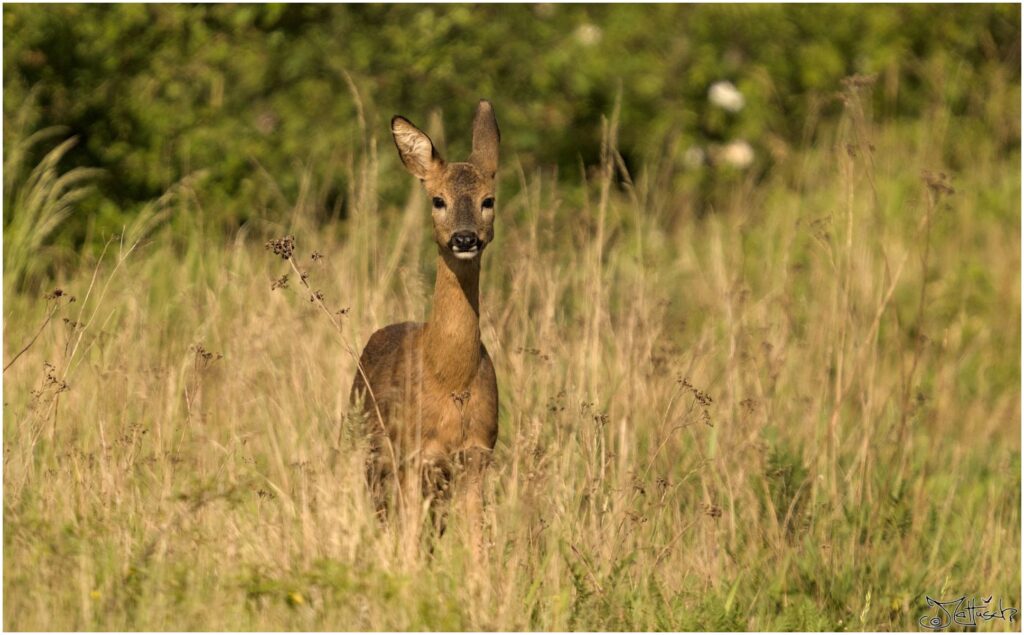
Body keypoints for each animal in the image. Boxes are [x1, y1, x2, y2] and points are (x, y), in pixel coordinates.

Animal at [348, 97, 499, 557]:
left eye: (488, 200)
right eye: (437, 200)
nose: (465, 239)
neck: (449, 377)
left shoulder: (477, 454)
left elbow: (476, 543)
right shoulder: (414, 456)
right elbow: (411, 537)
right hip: (372, 454)